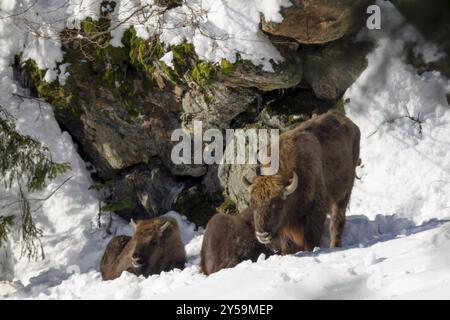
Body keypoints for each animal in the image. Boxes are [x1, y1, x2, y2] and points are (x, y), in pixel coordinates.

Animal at [244, 110, 360, 255]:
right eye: (253, 204)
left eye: (277, 205)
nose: (262, 235)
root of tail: (353, 125)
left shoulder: (315, 213)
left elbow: (311, 240)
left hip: (343, 195)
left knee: (336, 222)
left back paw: (335, 246)